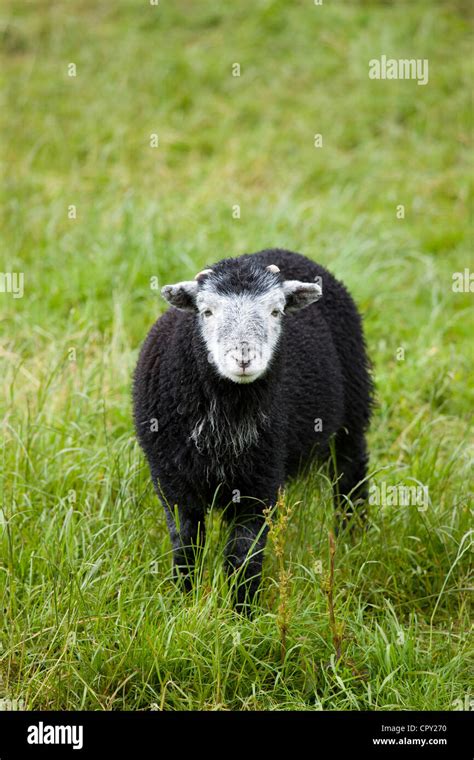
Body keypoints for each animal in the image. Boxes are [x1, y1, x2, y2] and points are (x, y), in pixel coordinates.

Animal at [131, 249, 372, 612]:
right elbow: (187, 543)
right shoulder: (171, 481)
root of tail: (281, 250)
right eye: (206, 311)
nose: (244, 359)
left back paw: (351, 537)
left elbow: (243, 554)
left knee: (350, 473)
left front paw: (241, 613)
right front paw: (183, 600)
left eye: (276, 311)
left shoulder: (260, 481)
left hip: (352, 413)